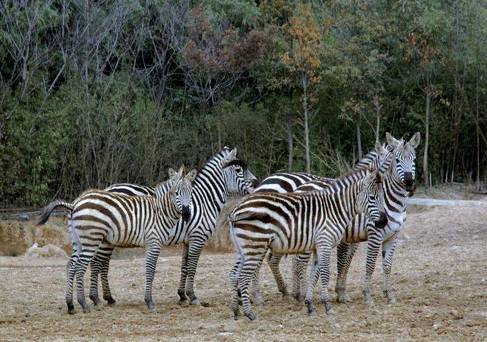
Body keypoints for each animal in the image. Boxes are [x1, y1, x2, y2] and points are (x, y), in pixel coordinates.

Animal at [37, 167, 196, 314]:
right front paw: (150, 302)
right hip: (91, 240)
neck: (161, 211)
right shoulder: (154, 242)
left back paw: (70, 305)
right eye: (176, 193)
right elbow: (151, 270)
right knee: (80, 267)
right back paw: (84, 304)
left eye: (191, 193)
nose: (187, 214)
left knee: (71, 266)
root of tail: (75, 204)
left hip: (78, 241)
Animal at [86, 146, 260, 306]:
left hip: (109, 237)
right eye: (238, 169)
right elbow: (192, 267)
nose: (257, 183)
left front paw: (182, 295)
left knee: (101, 263)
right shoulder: (198, 237)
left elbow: (185, 266)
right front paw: (193, 296)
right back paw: (98, 298)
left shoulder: (188, 240)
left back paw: (108, 298)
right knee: (98, 263)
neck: (204, 200)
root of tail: (108, 189)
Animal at [230, 167, 388, 320]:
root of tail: (236, 209)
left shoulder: (317, 247)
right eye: (373, 198)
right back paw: (250, 313)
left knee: (235, 273)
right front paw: (327, 306)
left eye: (383, 198)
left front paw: (310, 305)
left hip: (245, 249)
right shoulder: (325, 243)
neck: (336, 210)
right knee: (244, 277)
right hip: (255, 245)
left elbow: (314, 274)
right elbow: (325, 274)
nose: (384, 222)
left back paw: (236, 310)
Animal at [254, 133, 422, 304]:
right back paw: (273, 296)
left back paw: (290, 293)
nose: (410, 184)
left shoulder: (388, 236)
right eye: (397, 160)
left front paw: (388, 295)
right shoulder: (372, 234)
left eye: (414, 159)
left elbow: (380, 265)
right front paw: (363, 295)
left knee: (280, 261)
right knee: (278, 262)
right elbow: (365, 264)